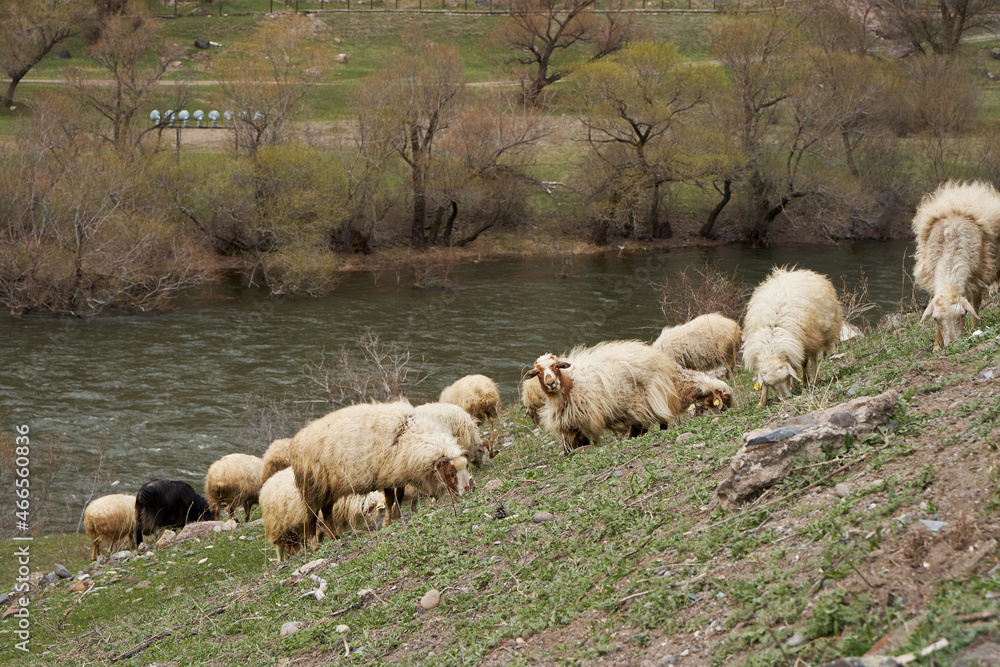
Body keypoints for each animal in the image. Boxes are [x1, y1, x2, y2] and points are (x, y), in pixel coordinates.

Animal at [288, 401, 474, 543]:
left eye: (466, 467)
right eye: (450, 472)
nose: (467, 492)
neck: (410, 435)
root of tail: (296, 440)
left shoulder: (399, 473)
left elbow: (399, 496)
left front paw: (397, 517)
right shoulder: (388, 475)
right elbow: (390, 500)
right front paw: (387, 522)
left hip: (328, 489)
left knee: (326, 512)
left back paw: (334, 537)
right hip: (312, 486)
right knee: (311, 515)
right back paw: (314, 543)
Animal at [524, 340, 682, 454]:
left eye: (557, 366)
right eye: (537, 372)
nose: (551, 383)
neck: (570, 384)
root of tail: (658, 357)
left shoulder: (589, 419)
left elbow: (594, 442)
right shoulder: (572, 425)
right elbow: (571, 448)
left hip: (651, 398)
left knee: (655, 422)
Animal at [742, 267, 842, 408]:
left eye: (786, 377)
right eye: (771, 385)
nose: (786, 398)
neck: (771, 345)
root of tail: (794, 272)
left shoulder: (804, 343)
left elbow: (804, 363)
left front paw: (806, 383)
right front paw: (762, 402)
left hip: (815, 335)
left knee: (813, 359)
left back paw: (815, 379)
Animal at [912, 180, 1000, 349]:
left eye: (962, 315)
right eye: (935, 319)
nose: (952, 344)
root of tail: (968, 188)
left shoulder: (979, 274)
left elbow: (976, 303)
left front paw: (973, 329)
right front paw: (937, 345)